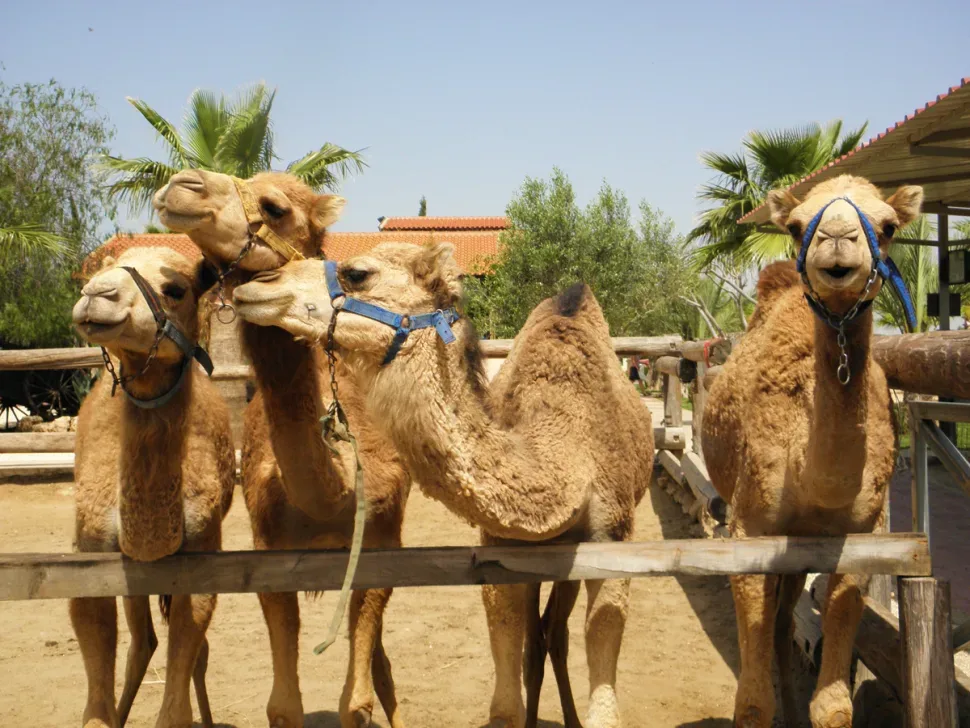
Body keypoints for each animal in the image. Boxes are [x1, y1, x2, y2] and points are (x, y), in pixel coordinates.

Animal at [70, 247, 235, 728]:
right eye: (98, 270)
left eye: (175, 289)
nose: (97, 293)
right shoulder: (92, 552)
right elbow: (97, 703)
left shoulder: (202, 551)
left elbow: (179, 689)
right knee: (142, 644)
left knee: (190, 651)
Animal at [152, 170, 409, 728]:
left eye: (274, 208)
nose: (182, 184)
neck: (335, 497)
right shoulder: (269, 553)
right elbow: (284, 704)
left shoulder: (381, 546)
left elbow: (357, 699)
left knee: (381, 668)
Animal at [228, 241, 656, 728]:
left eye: (358, 274)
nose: (257, 284)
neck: (567, 450)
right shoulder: (502, 547)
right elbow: (504, 704)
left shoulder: (613, 536)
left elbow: (605, 703)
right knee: (541, 638)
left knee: (555, 633)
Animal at [702, 174, 923, 728]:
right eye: (799, 225)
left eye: (888, 226)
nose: (838, 239)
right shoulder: (750, 528)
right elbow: (752, 702)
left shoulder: (861, 535)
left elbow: (835, 706)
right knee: (778, 624)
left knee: (785, 622)